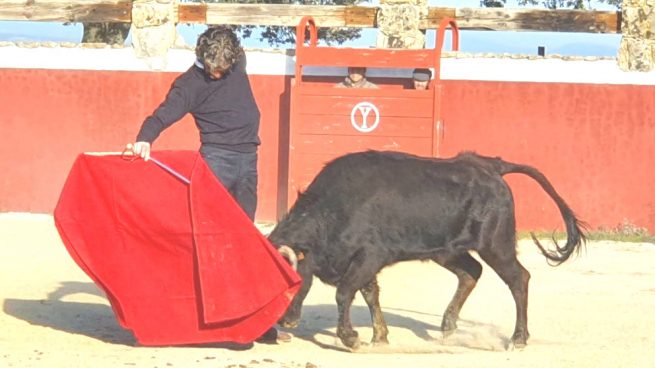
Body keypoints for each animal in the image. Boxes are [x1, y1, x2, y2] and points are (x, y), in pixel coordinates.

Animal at [270, 150, 588, 350]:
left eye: (291, 281)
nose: (285, 321)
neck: (329, 213)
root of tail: (488, 166)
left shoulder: (369, 256)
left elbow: (345, 292)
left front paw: (351, 338)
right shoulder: (362, 263)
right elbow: (370, 294)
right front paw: (379, 337)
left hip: (496, 245)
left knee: (518, 278)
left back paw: (518, 338)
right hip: (447, 250)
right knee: (472, 272)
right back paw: (448, 326)